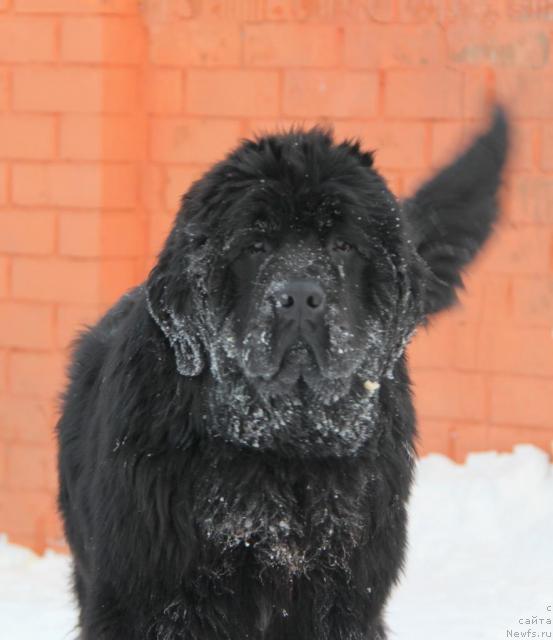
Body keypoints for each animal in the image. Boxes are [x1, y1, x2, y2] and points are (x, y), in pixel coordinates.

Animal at [57, 107, 508, 636]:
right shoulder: (146, 597)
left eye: (342, 245)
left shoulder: (344, 598)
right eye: (256, 245)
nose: (299, 296)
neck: (282, 450)